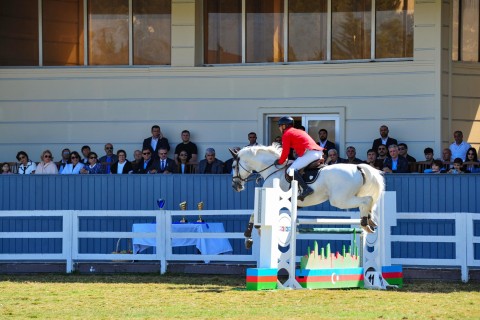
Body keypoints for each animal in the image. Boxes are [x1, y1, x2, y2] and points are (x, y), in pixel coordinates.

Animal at [231, 144, 384, 232]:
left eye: (233, 166)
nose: (235, 186)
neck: (273, 170)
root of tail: (358, 167)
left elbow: (253, 214)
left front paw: (249, 236)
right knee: (367, 202)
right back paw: (369, 220)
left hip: (340, 200)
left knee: (366, 200)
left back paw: (365, 223)